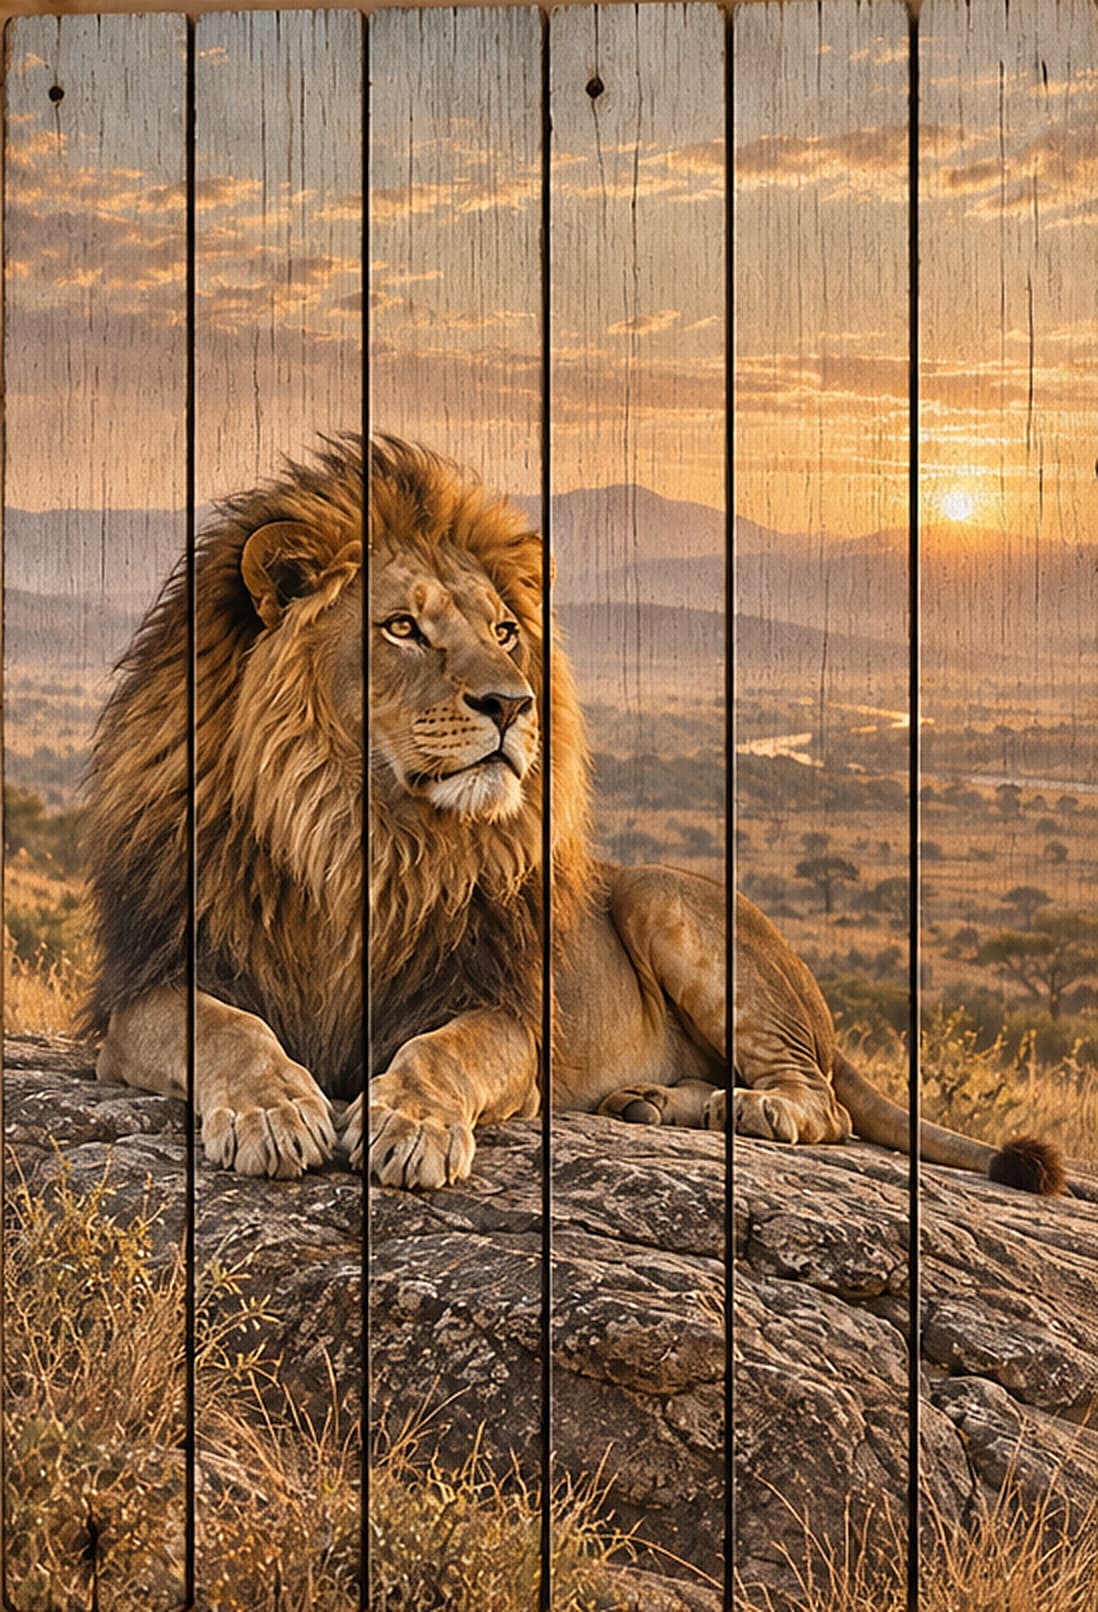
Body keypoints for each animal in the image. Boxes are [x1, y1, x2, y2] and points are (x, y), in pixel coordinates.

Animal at [85, 436, 1064, 1197]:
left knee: (822, 1104)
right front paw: (276, 1108)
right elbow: (227, 1025)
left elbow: (444, 1053)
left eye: (504, 630)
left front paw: (413, 1124)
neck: (353, 836)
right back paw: (653, 1103)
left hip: (670, 905)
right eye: (401, 628)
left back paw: (746, 1106)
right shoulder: (145, 985)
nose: (513, 705)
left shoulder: (504, 1009)